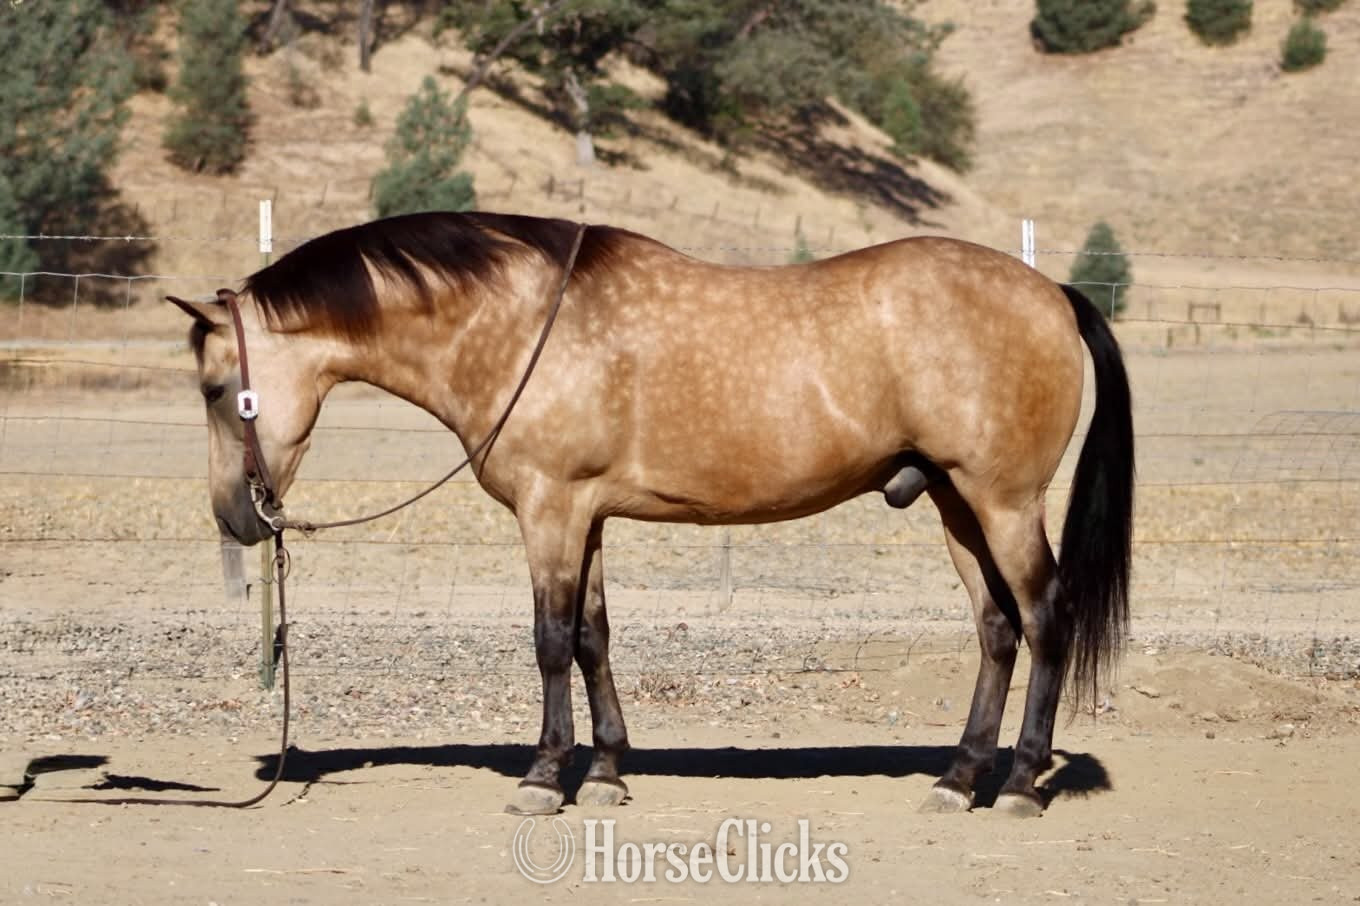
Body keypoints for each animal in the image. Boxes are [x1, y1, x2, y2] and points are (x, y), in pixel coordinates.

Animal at [169, 211, 1133, 818]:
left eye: (216, 389)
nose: (235, 518)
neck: (519, 325)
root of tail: (1052, 293)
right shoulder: (584, 515)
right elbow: (593, 637)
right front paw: (604, 772)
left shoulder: (550, 510)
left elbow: (550, 641)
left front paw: (543, 775)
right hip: (953, 502)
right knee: (996, 630)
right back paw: (959, 776)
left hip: (1002, 503)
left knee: (1044, 620)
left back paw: (1017, 785)